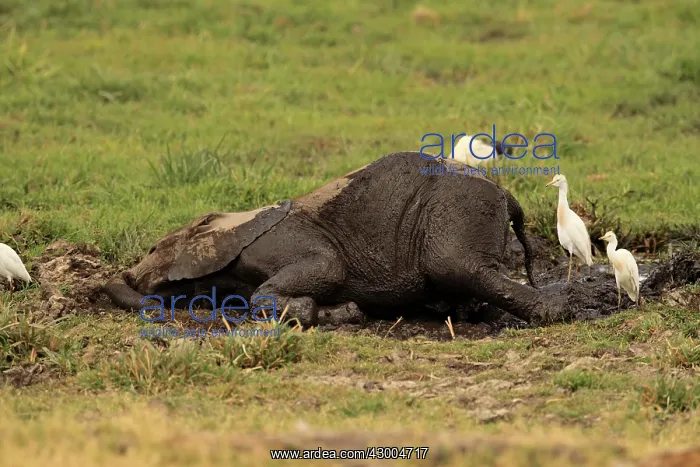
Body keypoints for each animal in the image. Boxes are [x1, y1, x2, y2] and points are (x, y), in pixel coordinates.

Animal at [103, 151, 571, 327]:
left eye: (153, 248)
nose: (128, 276)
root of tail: (508, 195)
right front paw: (344, 313)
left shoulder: (286, 240)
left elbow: (328, 268)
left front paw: (314, 311)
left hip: (455, 211)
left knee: (458, 267)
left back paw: (554, 312)